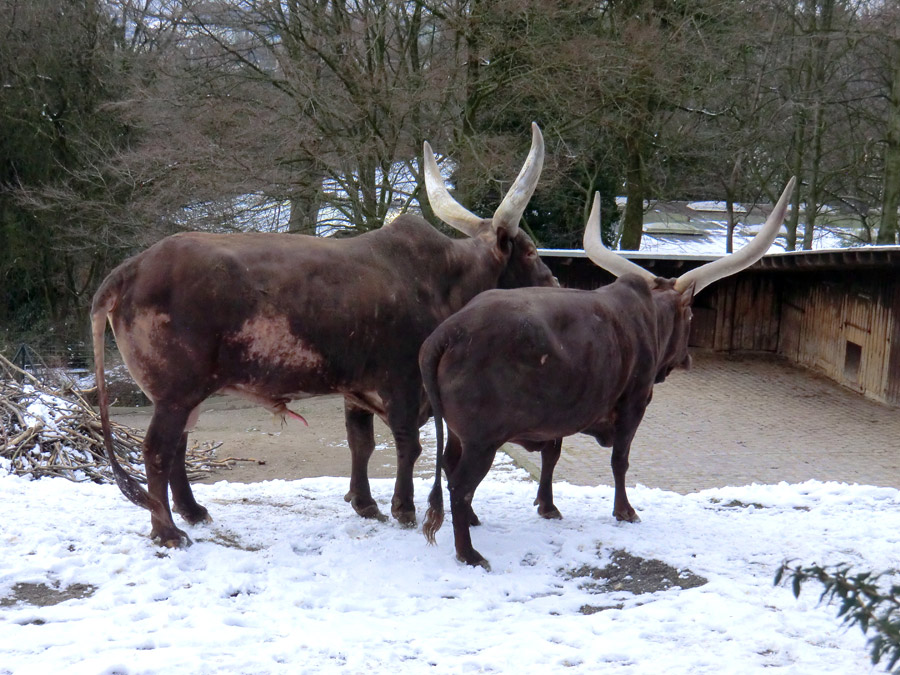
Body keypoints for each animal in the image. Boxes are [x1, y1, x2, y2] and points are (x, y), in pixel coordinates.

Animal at [91, 124, 556, 548]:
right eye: (531, 251)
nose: (553, 282)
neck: (441, 282)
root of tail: (132, 267)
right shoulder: (404, 383)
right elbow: (408, 445)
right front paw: (403, 508)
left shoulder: (358, 388)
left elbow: (361, 443)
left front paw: (364, 503)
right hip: (176, 392)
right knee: (157, 451)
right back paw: (167, 531)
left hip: (183, 395)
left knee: (178, 448)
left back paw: (192, 511)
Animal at [420, 177, 796, 568]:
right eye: (691, 315)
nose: (687, 358)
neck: (647, 315)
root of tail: (449, 332)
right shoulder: (634, 403)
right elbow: (620, 459)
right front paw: (625, 511)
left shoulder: (562, 413)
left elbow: (552, 455)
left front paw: (548, 506)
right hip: (482, 440)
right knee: (460, 485)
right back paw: (469, 553)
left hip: (460, 434)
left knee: (449, 466)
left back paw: (473, 521)